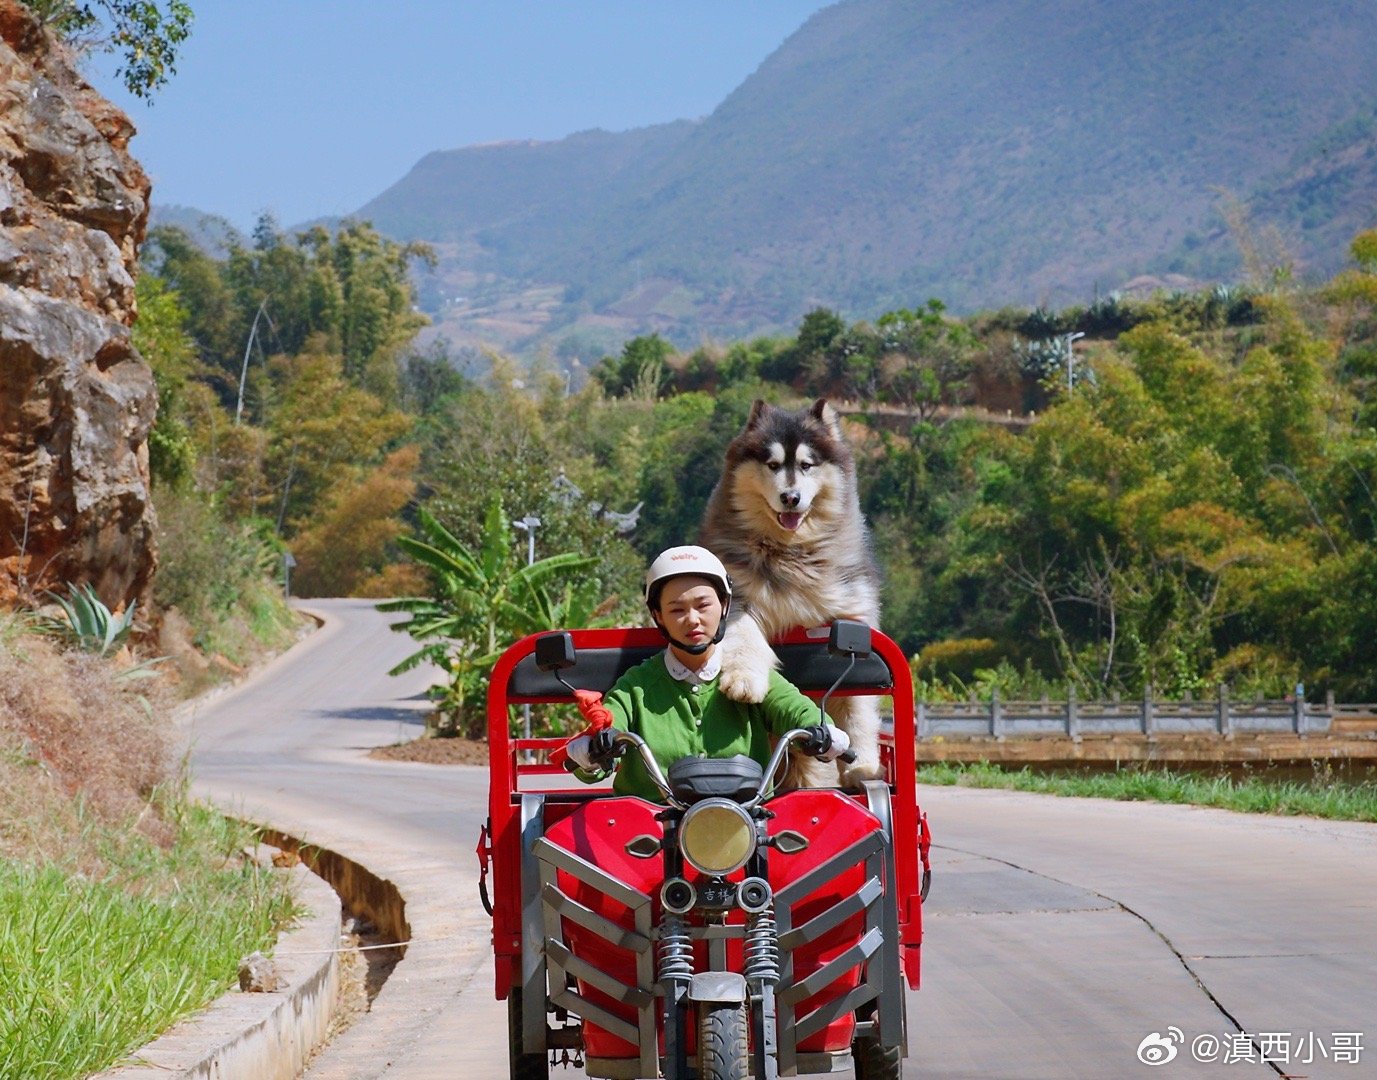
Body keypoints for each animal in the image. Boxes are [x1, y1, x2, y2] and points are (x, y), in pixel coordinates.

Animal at [699, 396, 881, 782]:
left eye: (806, 465)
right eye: (772, 465)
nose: (791, 497)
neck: (789, 551)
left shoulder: (852, 616)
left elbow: (858, 702)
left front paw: (864, 764)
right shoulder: (734, 598)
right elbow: (744, 635)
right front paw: (745, 679)